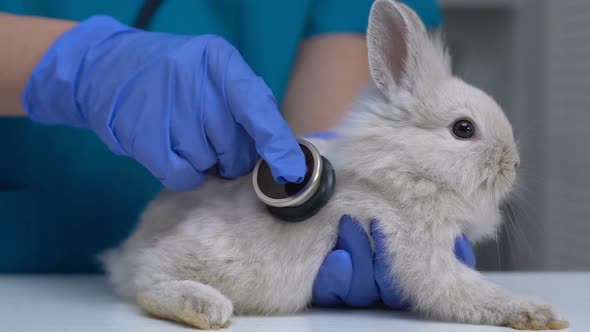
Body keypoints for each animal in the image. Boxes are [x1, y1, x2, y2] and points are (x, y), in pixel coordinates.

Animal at [100, 0, 568, 330]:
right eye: (464, 129)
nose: (514, 163)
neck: (406, 172)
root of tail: (128, 252)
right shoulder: (418, 253)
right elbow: (469, 291)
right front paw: (538, 314)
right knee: (148, 285)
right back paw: (205, 308)